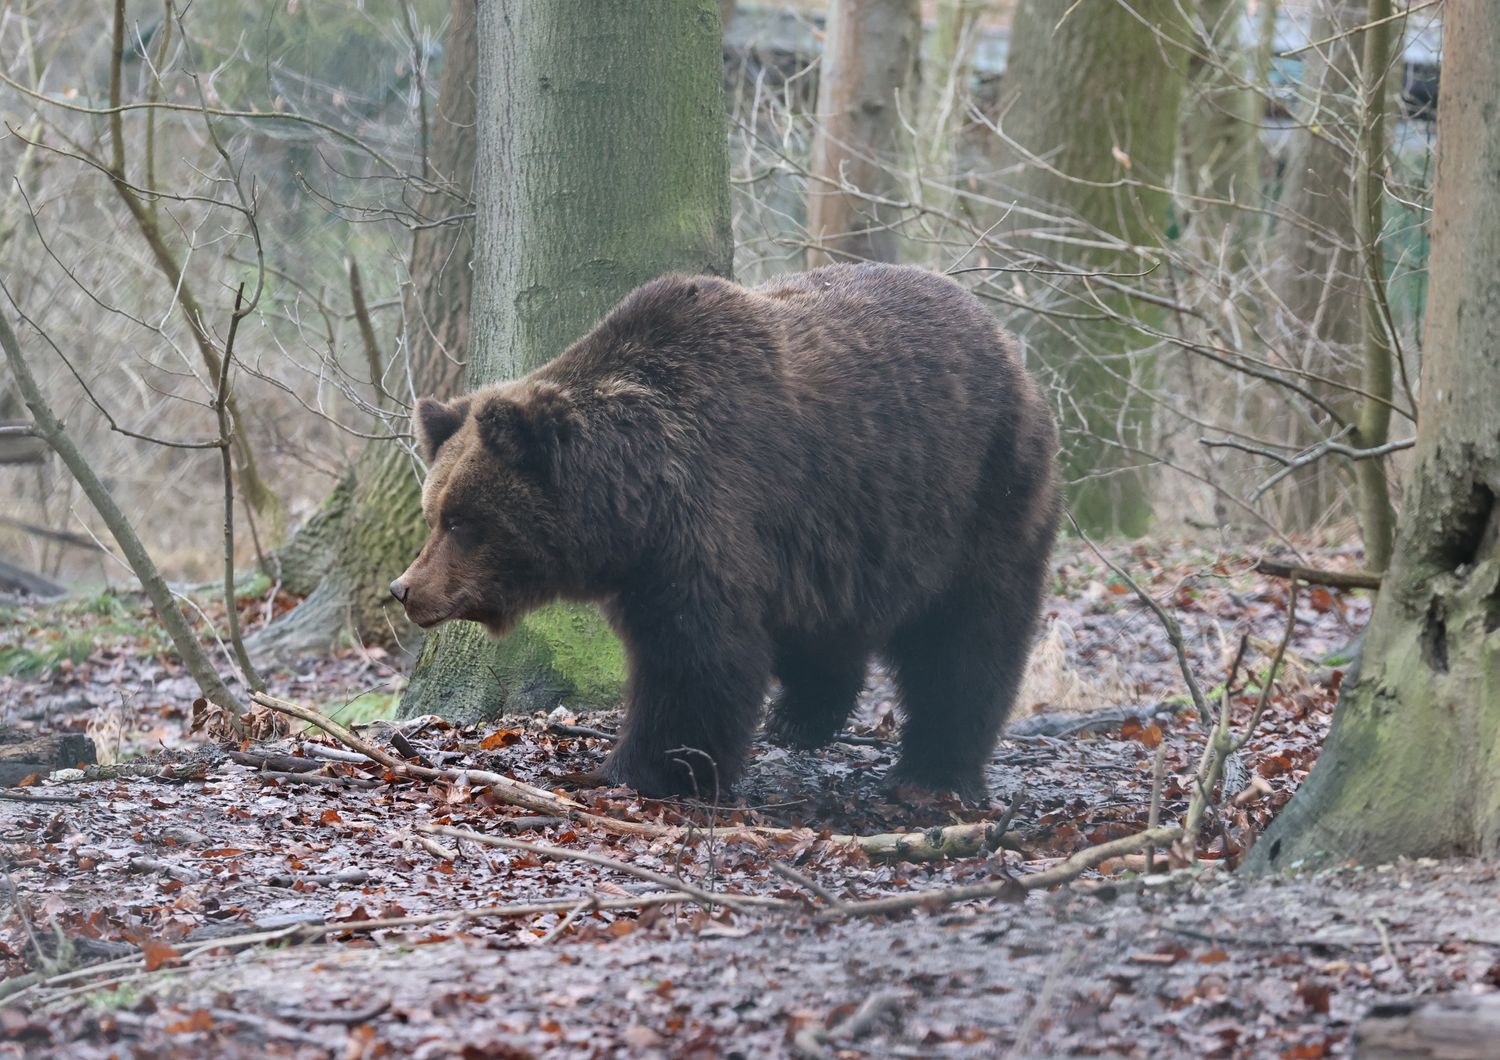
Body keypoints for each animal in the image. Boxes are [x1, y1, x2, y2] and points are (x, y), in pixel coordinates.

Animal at [393, 263, 1062, 797]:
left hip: (979, 493)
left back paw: (934, 770)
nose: (405, 589)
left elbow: (695, 661)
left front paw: (636, 769)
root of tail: (1007, 344)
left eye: (462, 521)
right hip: (854, 533)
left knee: (966, 636)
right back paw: (802, 719)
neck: (633, 504)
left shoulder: (709, 521)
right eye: (433, 514)